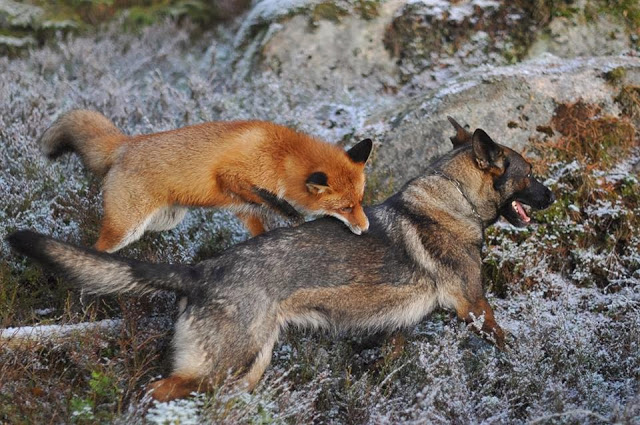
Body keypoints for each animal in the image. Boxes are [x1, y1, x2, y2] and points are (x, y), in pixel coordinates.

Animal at [42, 109, 372, 252]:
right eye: (345, 208)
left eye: (359, 202)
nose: (366, 228)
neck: (282, 157)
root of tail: (126, 144)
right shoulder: (231, 176)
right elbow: (271, 200)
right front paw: (291, 214)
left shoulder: (243, 207)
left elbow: (258, 221)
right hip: (126, 228)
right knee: (94, 246)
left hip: (164, 221)